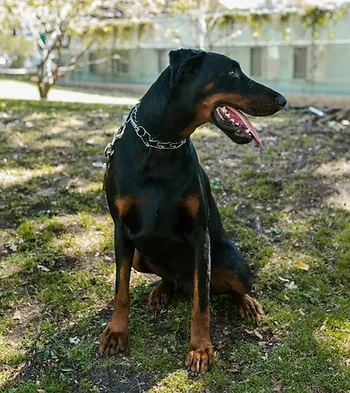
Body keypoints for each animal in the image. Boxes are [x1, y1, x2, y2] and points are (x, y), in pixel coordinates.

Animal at [100, 48, 286, 374]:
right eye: (232, 72)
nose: (282, 100)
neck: (160, 146)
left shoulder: (200, 236)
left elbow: (202, 303)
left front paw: (200, 349)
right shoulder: (121, 230)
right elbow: (120, 290)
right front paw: (117, 331)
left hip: (233, 265)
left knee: (230, 288)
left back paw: (246, 303)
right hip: (138, 257)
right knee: (168, 279)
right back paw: (161, 291)